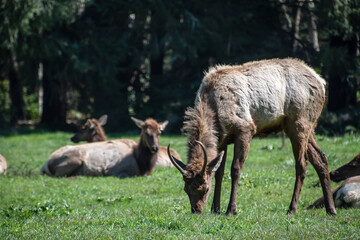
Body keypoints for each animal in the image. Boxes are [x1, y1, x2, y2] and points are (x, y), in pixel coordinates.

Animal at [40, 117, 180, 177]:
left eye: (159, 132)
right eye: (146, 132)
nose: (155, 148)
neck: (142, 163)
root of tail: (45, 164)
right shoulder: (114, 170)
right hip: (74, 158)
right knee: (59, 175)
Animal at [167, 58, 336, 216]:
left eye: (205, 189)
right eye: (186, 189)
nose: (196, 210)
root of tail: (321, 83)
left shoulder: (245, 129)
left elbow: (235, 169)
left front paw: (231, 209)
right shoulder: (221, 140)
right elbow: (219, 172)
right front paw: (215, 209)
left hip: (299, 123)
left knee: (302, 163)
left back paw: (292, 208)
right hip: (305, 127)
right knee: (321, 158)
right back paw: (331, 208)